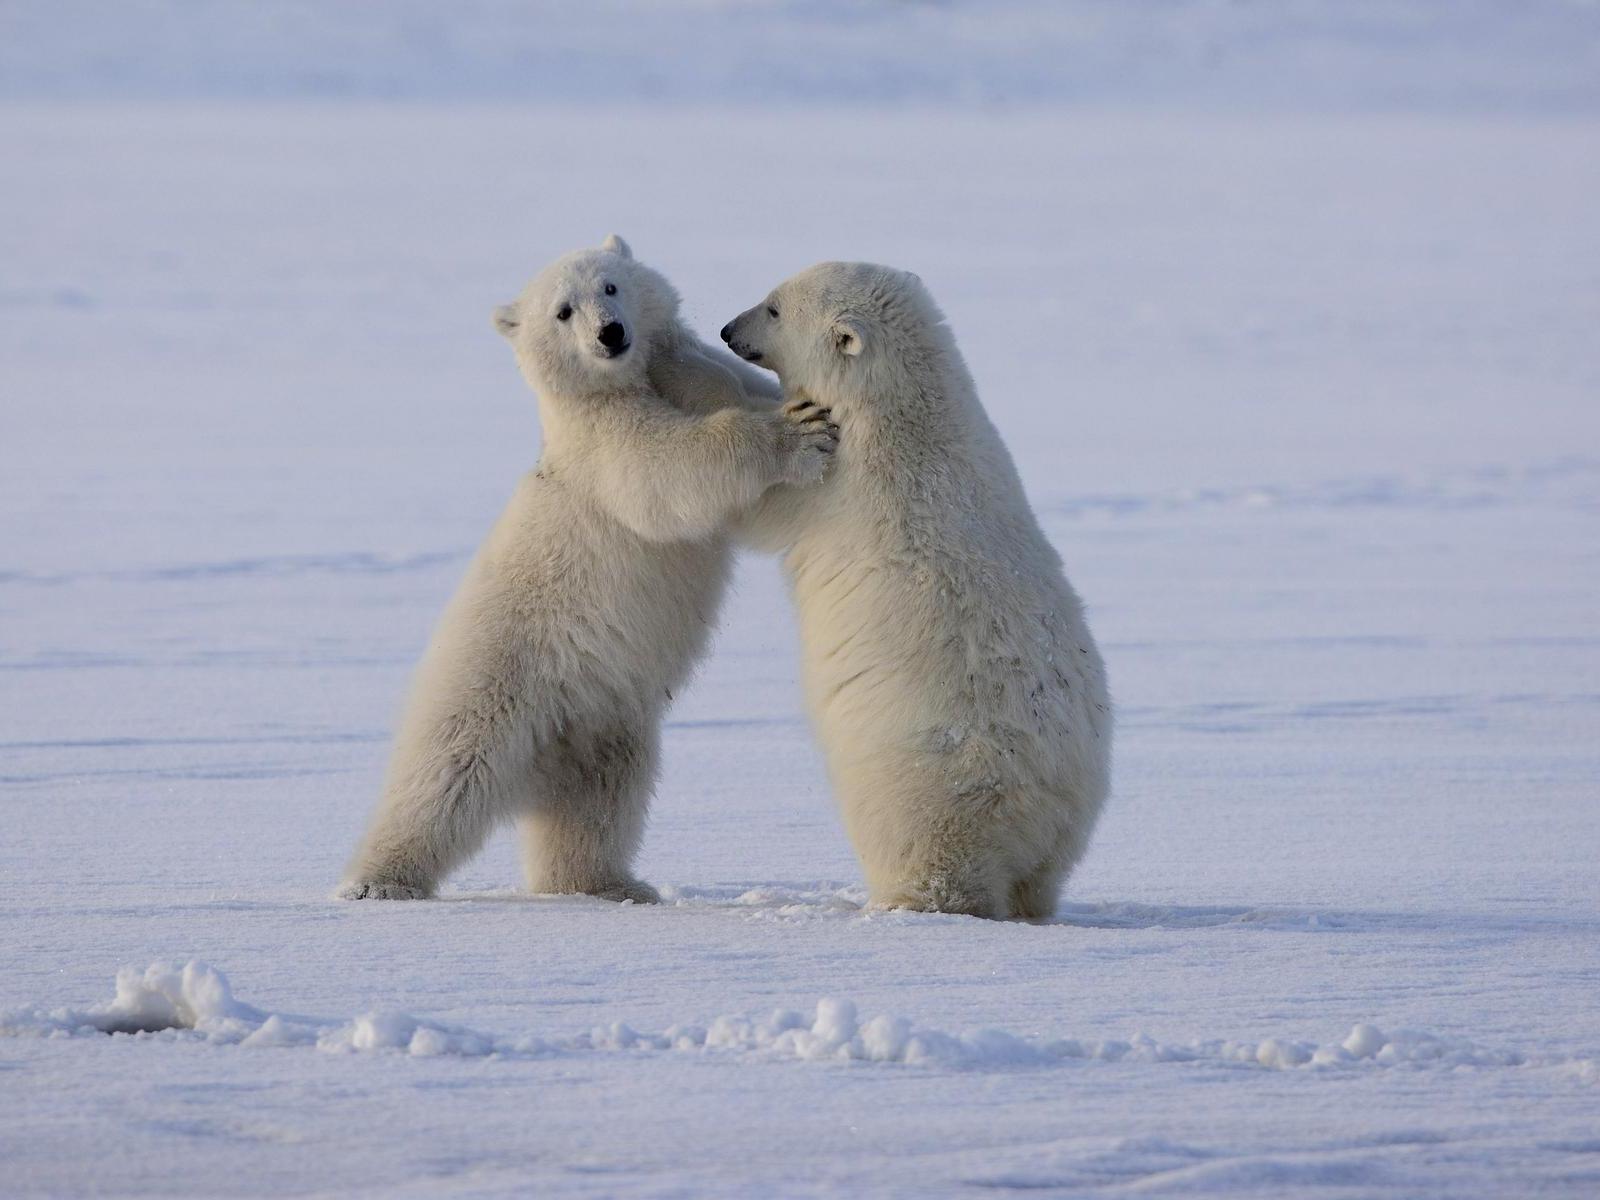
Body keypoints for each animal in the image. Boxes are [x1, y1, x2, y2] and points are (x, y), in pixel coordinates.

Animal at [337, 236, 838, 903]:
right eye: (562, 312)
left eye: (610, 286)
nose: (611, 333)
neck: (614, 386)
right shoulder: (604, 447)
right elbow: (668, 471)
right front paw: (799, 435)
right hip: (494, 674)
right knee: (443, 776)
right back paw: (378, 882)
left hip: (601, 715)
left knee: (597, 801)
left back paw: (610, 884)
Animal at [720, 262, 1112, 920]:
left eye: (772, 309)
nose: (727, 330)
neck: (905, 411)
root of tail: (1048, 806)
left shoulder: (843, 479)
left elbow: (767, 507)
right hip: (1063, 825)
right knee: (1039, 883)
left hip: (930, 782)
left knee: (931, 854)